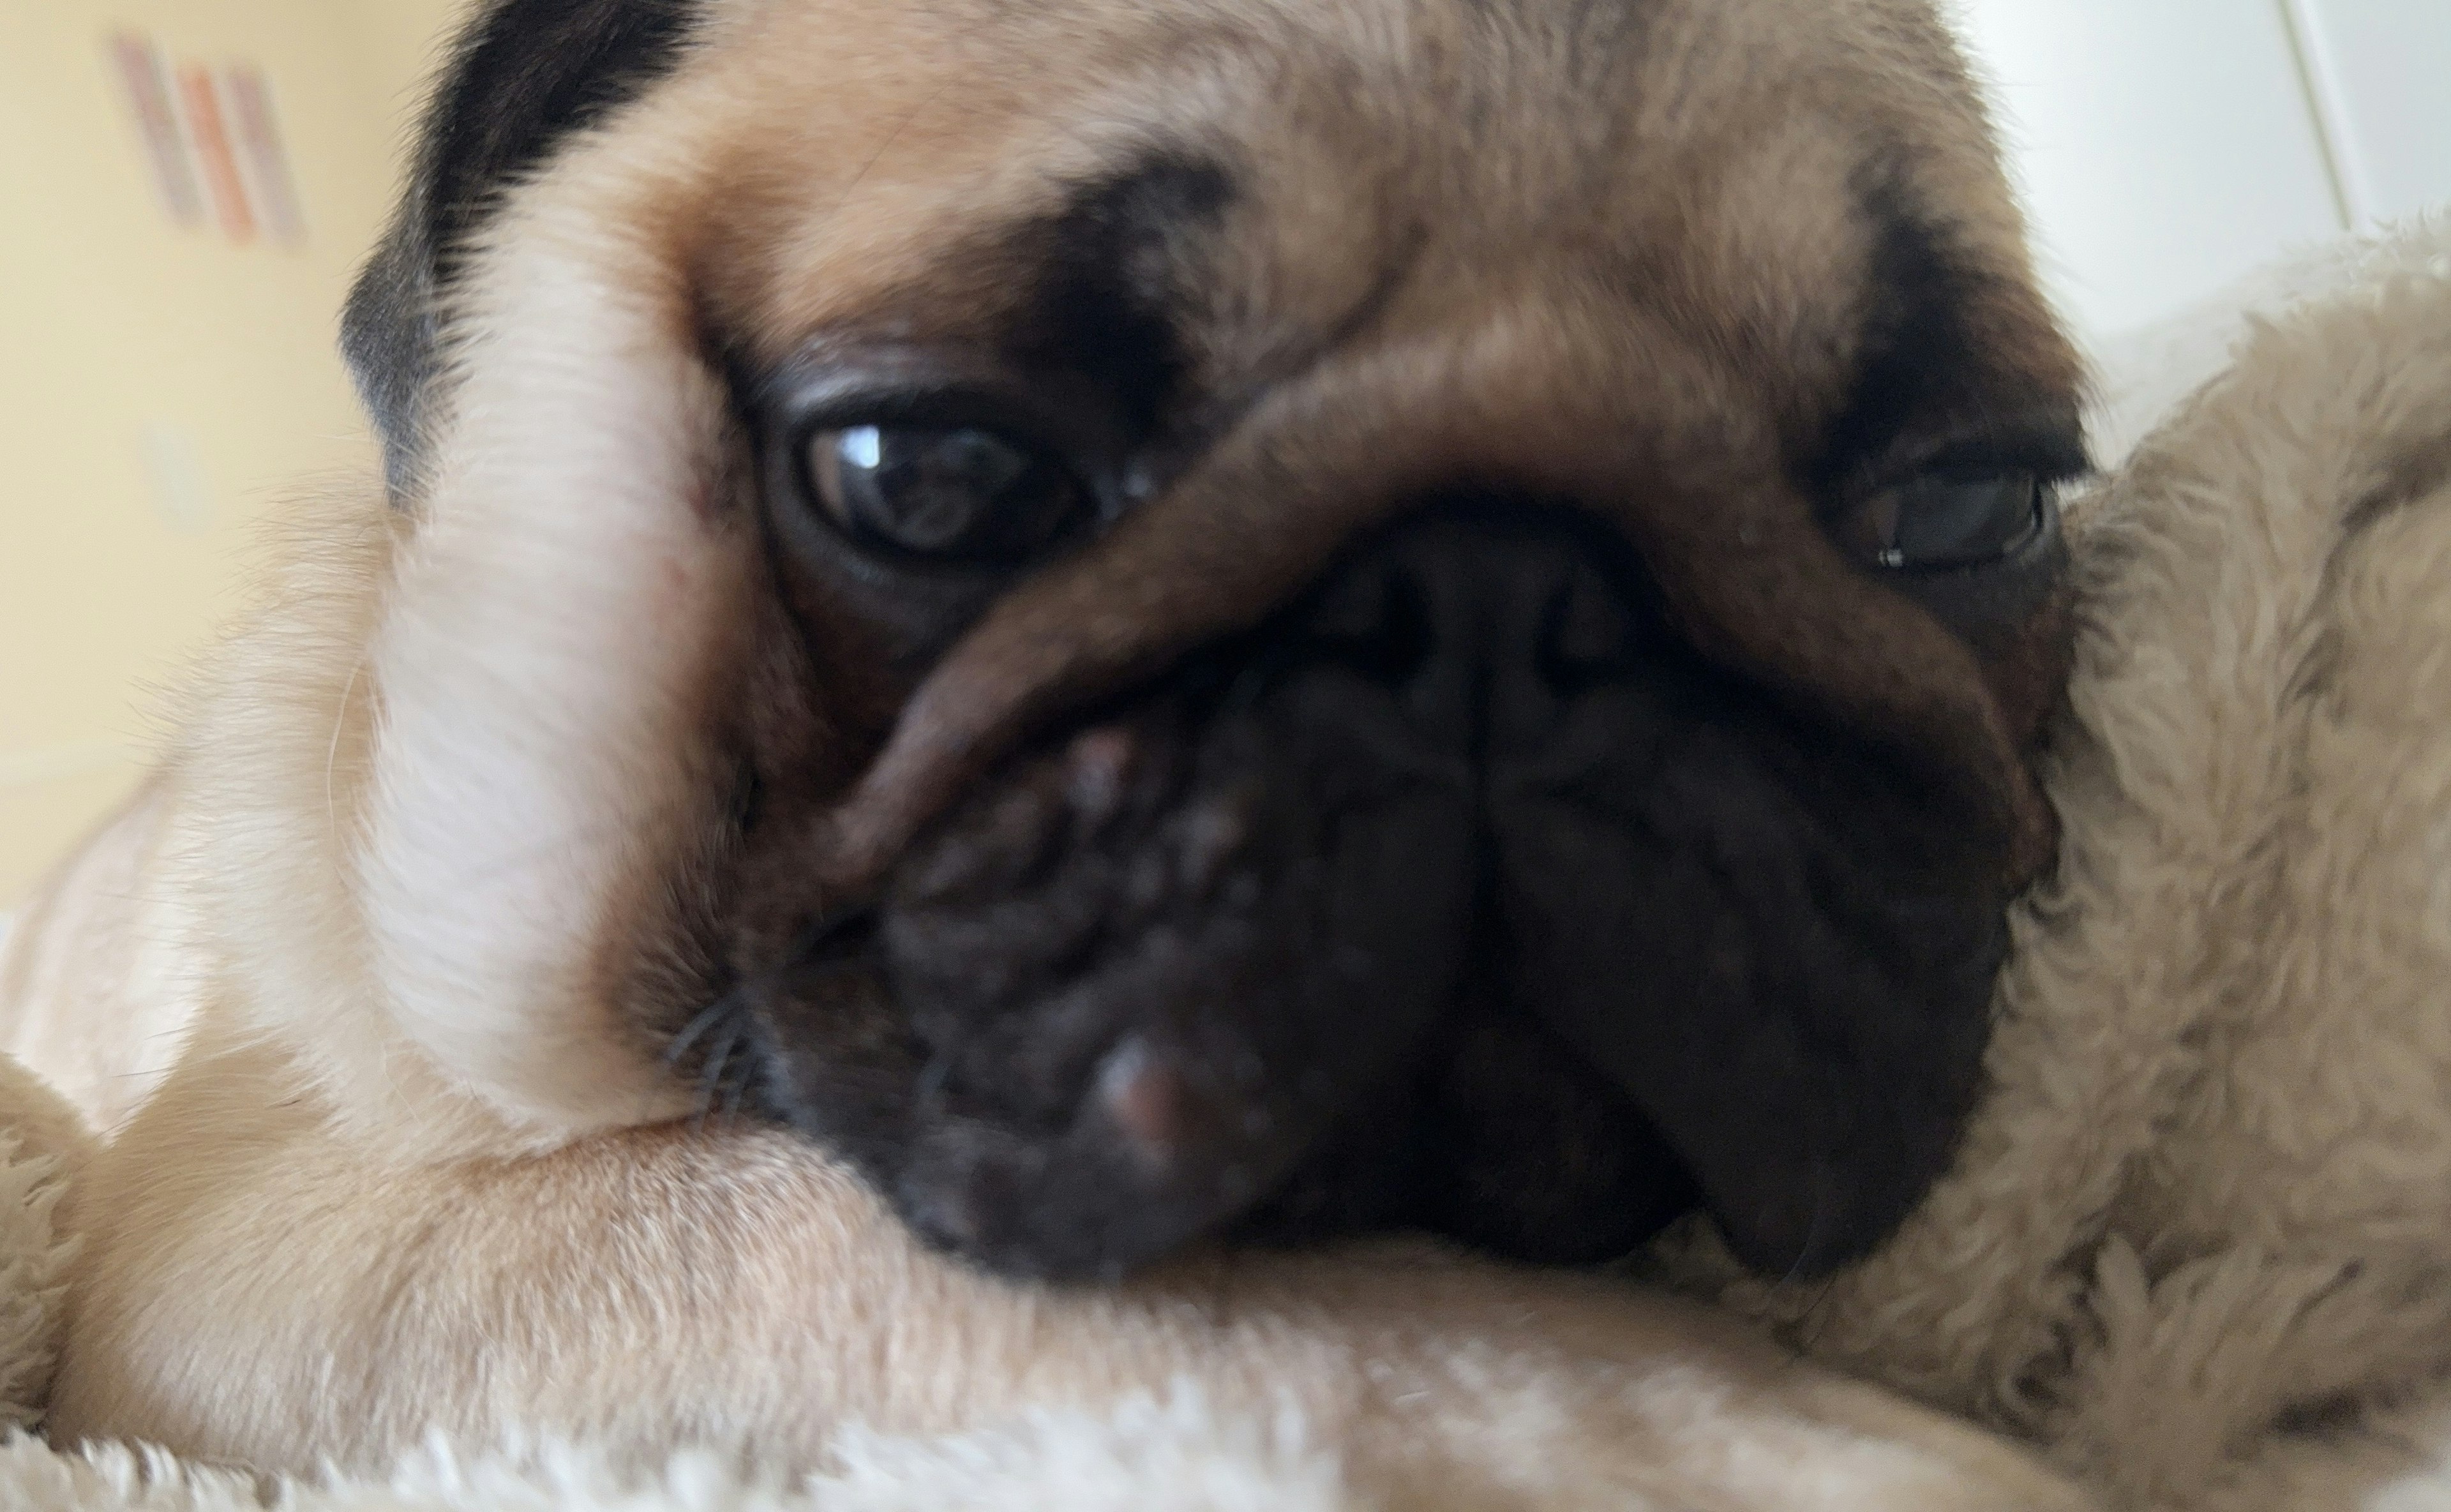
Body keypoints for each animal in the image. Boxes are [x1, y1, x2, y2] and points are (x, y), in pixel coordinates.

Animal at [10, 0, 2098, 1490]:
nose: (1496, 608)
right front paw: (1712, 1433)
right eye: (930, 476)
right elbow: (913, 1257)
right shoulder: (258, 1214)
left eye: (1966, 509)